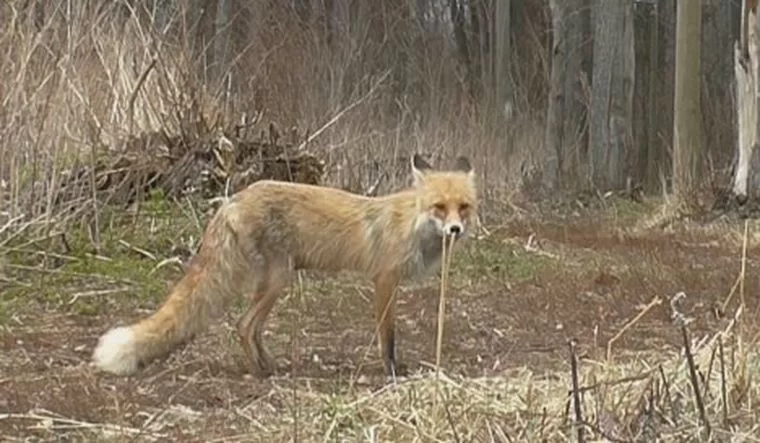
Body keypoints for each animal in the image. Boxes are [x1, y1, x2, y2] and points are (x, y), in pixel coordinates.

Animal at [92, 154, 478, 380]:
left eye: (464, 207)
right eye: (439, 207)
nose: (455, 230)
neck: (413, 225)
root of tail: (231, 200)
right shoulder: (384, 280)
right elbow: (388, 337)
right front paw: (392, 372)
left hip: (274, 281)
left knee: (253, 328)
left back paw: (270, 366)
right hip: (278, 280)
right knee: (243, 325)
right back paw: (259, 374)